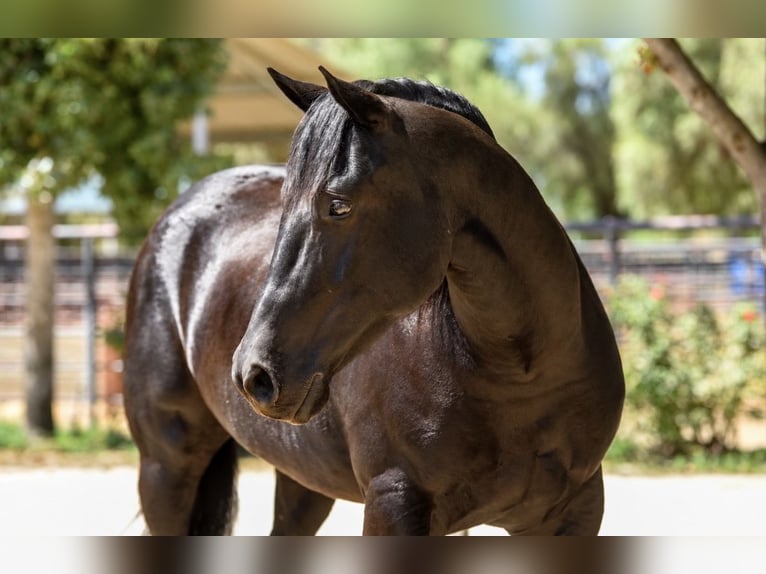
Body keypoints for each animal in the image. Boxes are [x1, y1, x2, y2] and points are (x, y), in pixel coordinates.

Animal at [123, 67, 624, 536]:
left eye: (338, 204)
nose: (254, 374)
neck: (517, 375)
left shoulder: (576, 511)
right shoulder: (393, 504)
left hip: (303, 480)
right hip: (165, 469)